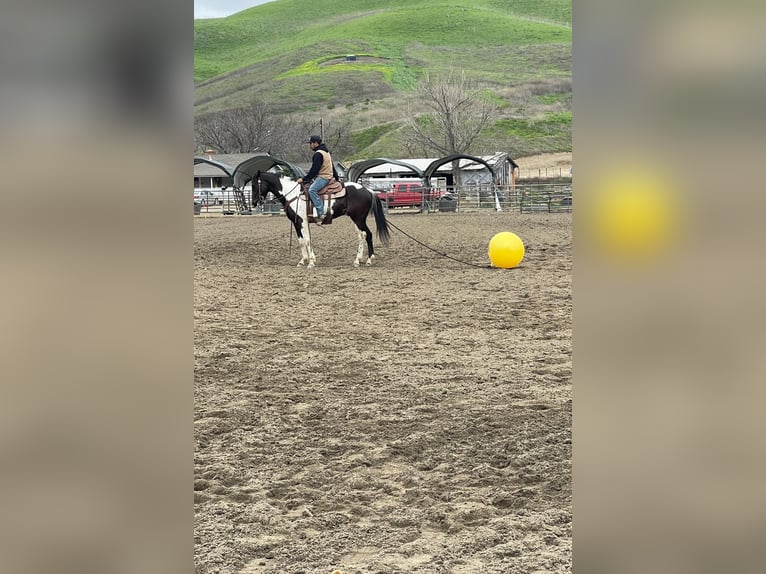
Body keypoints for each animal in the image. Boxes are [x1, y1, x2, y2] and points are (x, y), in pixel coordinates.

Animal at [255, 171, 392, 270]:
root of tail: (368, 190)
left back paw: (368, 260)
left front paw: (311, 262)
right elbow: (301, 241)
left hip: (359, 219)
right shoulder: (296, 223)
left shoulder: (302, 222)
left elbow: (307, 240)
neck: (294, 195)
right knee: (362, 236)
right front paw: (303, 261)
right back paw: (358, 261)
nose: (254, 202)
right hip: (356, 220)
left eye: (255, 184)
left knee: (367, 234)